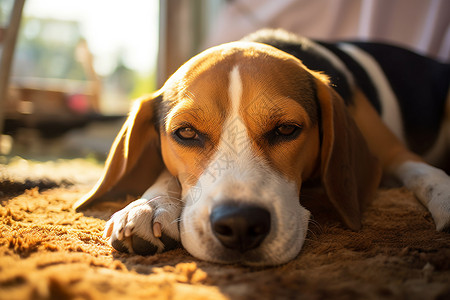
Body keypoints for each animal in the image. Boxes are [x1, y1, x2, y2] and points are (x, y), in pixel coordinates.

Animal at [74, 29, 450, 266]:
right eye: (186, 133)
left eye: (286, 129)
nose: (239, 225)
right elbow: (165, 177)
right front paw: (148, 207)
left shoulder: (395, 154)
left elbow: (425, 174)